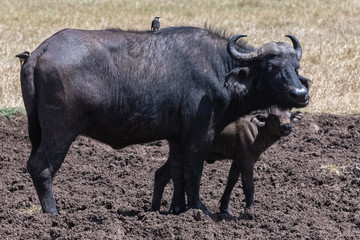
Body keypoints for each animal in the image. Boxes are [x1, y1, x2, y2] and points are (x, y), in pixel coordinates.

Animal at [150, 107, 302, 218]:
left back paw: (155, 209)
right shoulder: (247, 159)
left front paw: (225, 208)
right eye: (273, 116)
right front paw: (250, 212)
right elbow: (248, 184)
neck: (258, 131)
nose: (287, 127)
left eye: (289, 116)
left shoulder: (237, 159)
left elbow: (232, 180)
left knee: (161, 174)